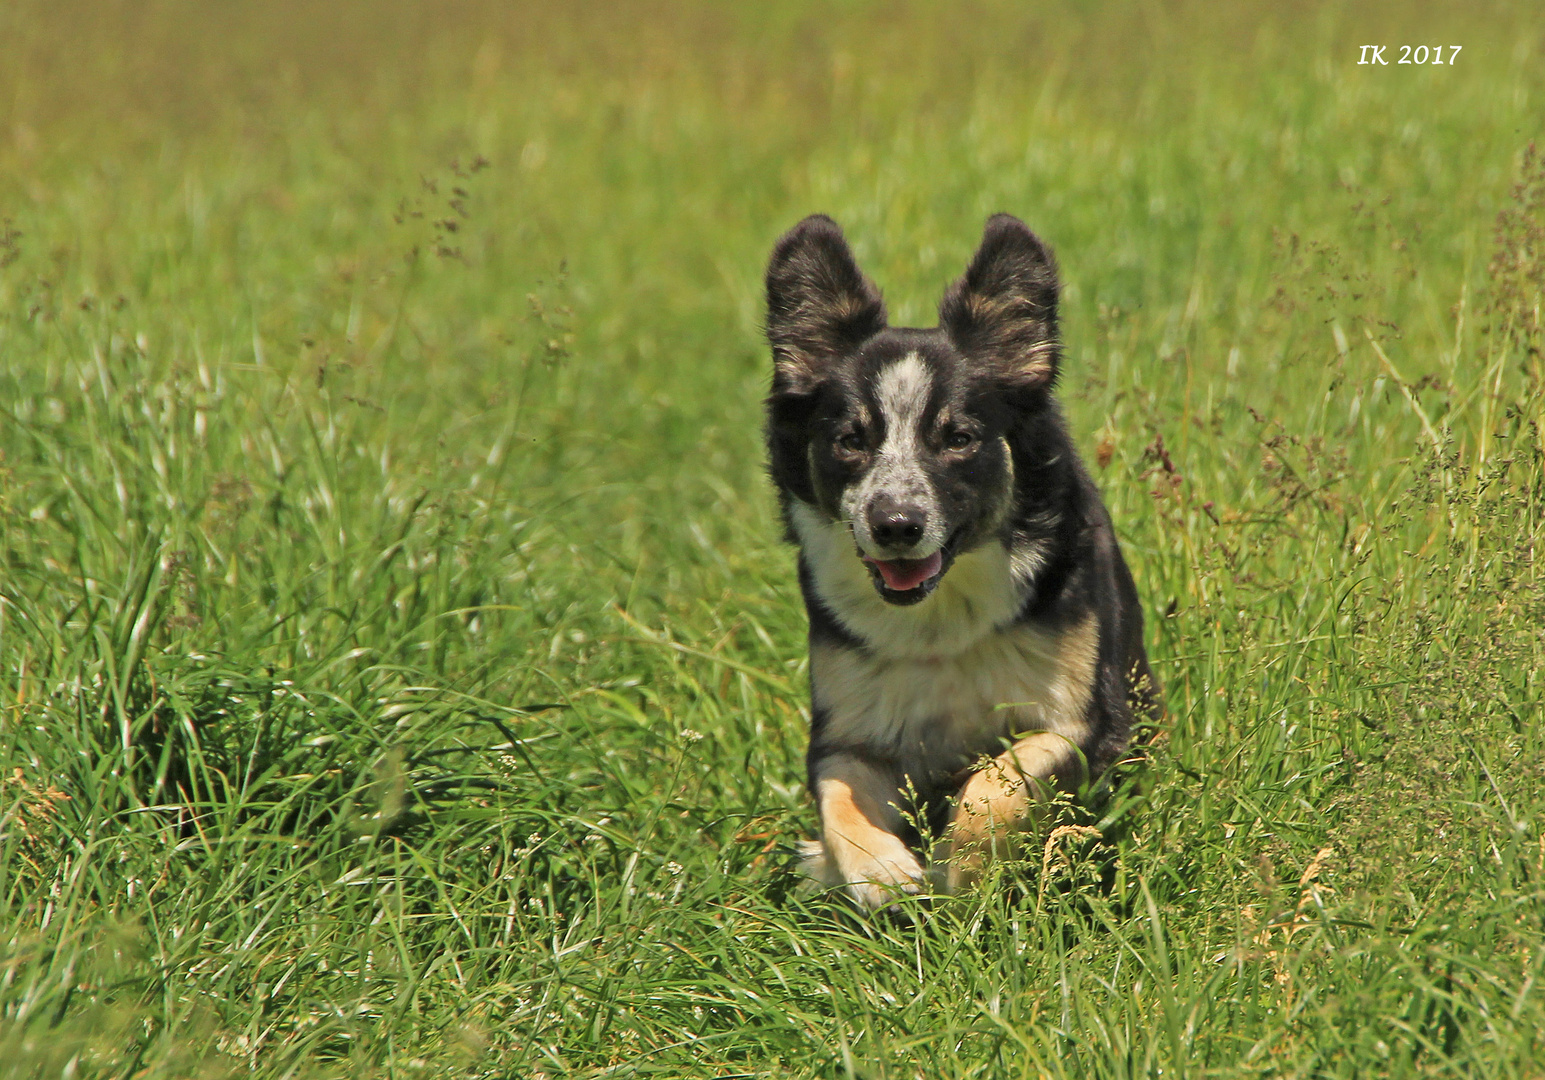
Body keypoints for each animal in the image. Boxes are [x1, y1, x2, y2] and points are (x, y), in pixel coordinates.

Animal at [766, 214, 1155, 908]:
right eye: (850, 440)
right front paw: (875, 869)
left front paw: (962, 867)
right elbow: (838, 798)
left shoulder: (1085, 721)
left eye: (959, 438)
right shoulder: (846, 734)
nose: (896, 525)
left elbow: (996, 784)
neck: (939, 618)